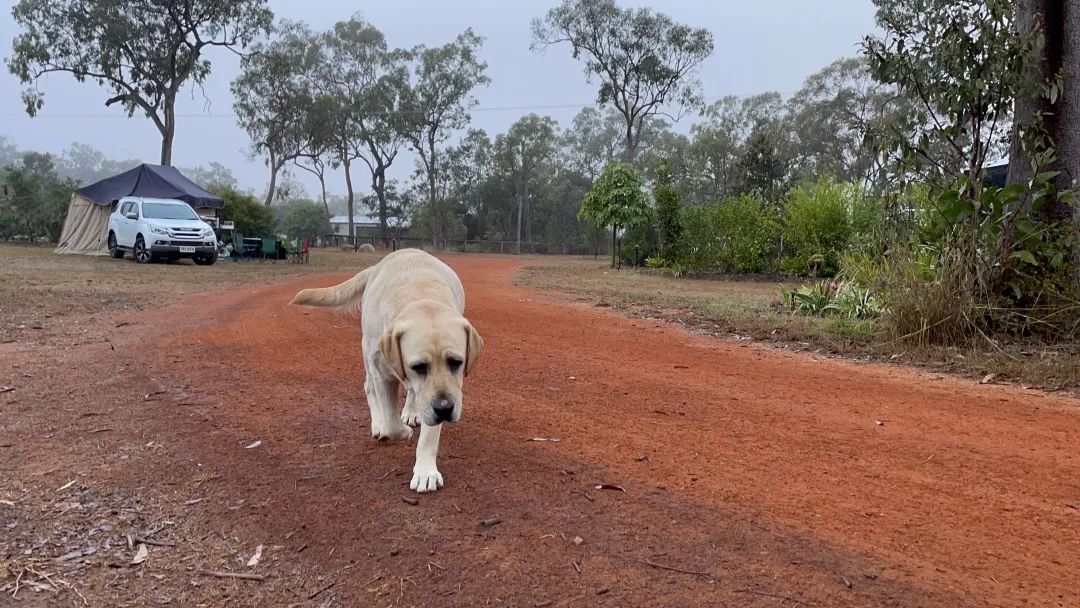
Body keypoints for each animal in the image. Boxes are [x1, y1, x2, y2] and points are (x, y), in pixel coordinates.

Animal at [291, 249, 486, 492]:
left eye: (456, 362)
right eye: (418, 367)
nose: (444, 409)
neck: (421, 296)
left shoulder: (441, 392)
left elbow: (428, 433)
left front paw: (425, 471)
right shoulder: (383, 373)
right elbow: (392, 423)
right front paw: (399, 431)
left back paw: (411, 411)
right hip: (367, 352)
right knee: (370, 389)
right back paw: (378, 424)